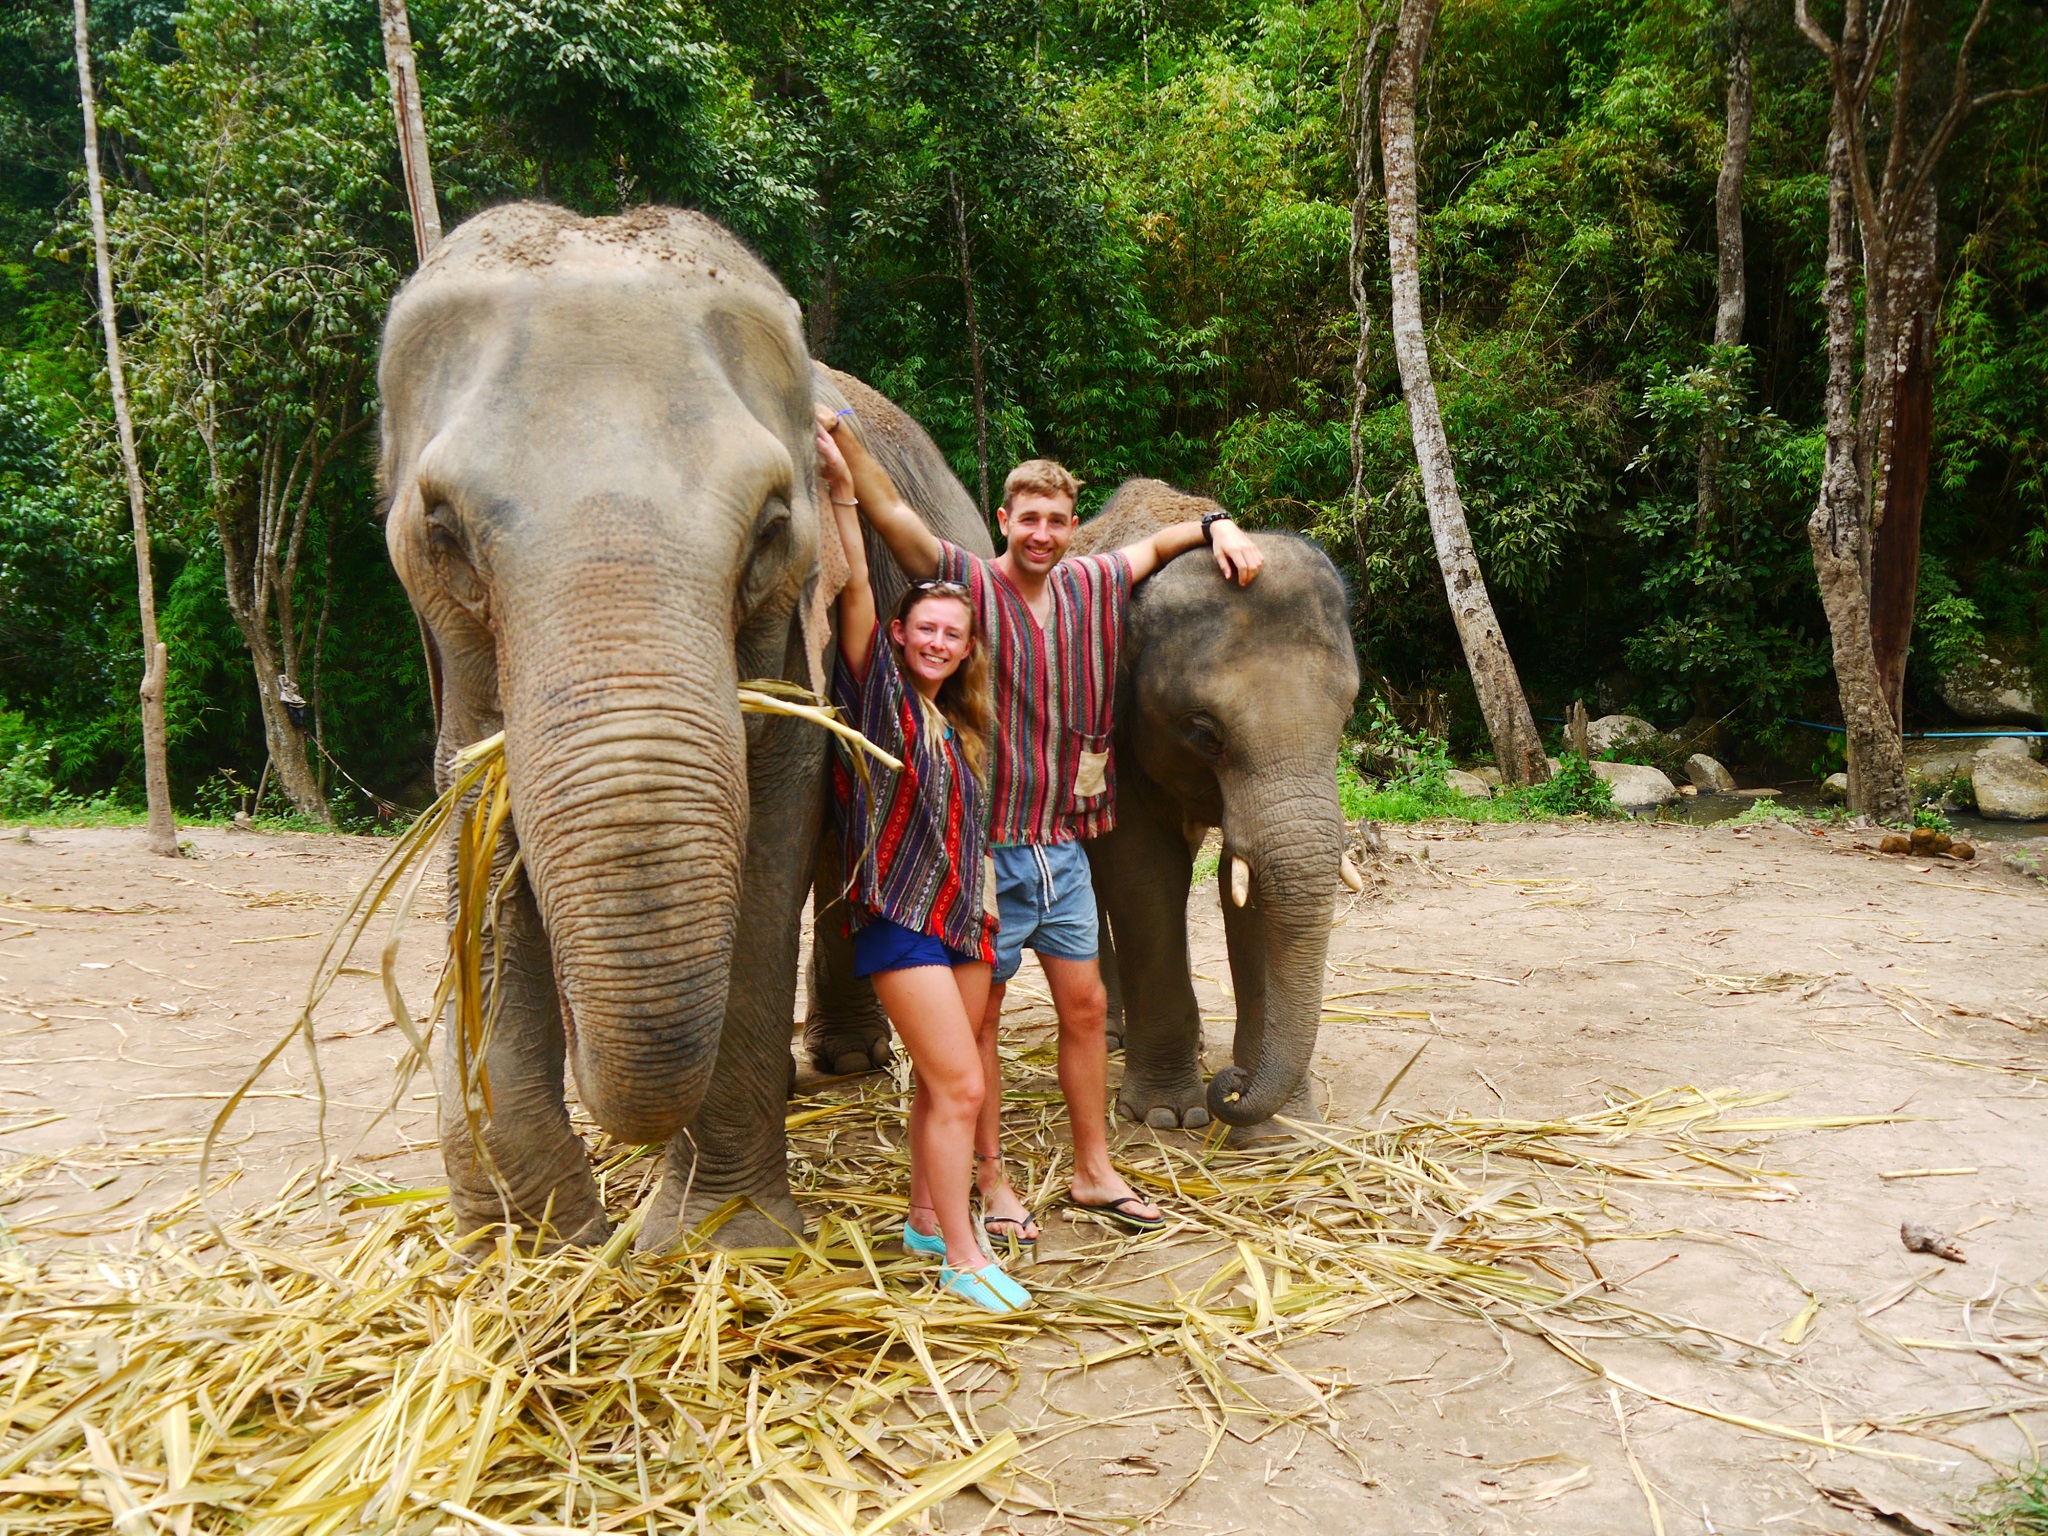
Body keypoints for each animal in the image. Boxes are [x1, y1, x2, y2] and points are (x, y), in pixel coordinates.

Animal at [379, 202, 977, 1251]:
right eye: (442, 530)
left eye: (773, 525)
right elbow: (476, 818)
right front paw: (530, 1237)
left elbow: (775, 824)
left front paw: (718, 1240)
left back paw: (845, 1064)